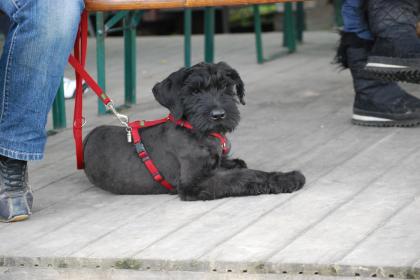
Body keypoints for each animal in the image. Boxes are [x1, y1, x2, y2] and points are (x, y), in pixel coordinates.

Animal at [83, 62, 306, 200]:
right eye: (195, 91)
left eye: (225, 87)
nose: (218, 115)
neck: (198, 132)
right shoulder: (194, 183)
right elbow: (244, 176)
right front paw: (288, 178)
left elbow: (238, 168)